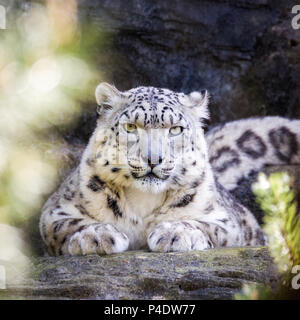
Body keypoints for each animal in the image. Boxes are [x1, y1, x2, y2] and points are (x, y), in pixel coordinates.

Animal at [39, 82, 300, 255]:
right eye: (131, 126)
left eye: (175, 129)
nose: (153, 159)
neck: (143, 200)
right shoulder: (55, 209)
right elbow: (65, 224)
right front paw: (96, 236)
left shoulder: (230, 222)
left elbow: (207, 225)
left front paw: (177, 233)